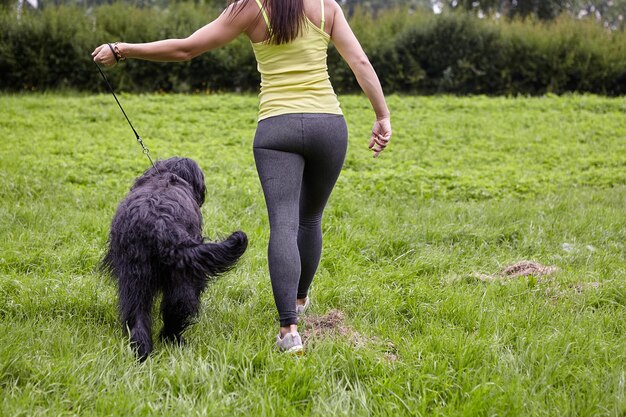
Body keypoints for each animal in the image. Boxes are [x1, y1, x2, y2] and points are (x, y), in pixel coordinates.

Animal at [102, 158, 246, 360]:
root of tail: (160, 225)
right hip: (182, 276)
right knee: (178, 307)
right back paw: (171, 339)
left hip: (135, 277)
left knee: (138, 312)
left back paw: (142, 349)